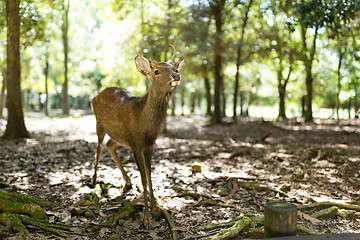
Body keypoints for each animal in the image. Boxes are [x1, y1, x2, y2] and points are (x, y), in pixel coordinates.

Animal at [91, 44, 184, 230]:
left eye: (175, 68)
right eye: (156, 71)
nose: (176, 75)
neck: (145, 127)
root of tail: (94, 97)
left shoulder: (149, 146)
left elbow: (150, 176)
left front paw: (155, 209)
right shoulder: (135, 144)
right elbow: (143, 178)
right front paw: (146, 219)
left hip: (118, 135)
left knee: (110, 145)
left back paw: (127, 181)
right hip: (99, 123)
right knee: (98, 147)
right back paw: (94, 180)